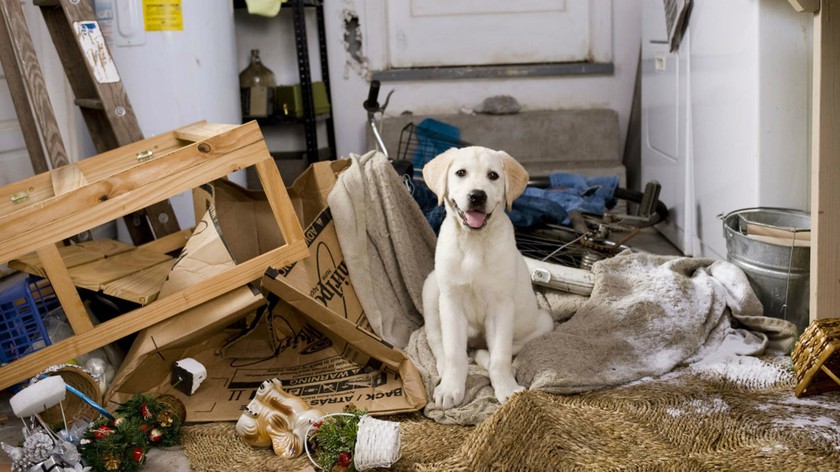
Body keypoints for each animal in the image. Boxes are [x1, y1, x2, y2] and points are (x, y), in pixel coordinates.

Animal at [424, 146, 556, 408]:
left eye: (493, 176)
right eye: (461, 173)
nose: (477, 196)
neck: (474, 243)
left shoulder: (501, 306)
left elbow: (501, 356)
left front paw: (507, 388)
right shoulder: (451, 301)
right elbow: (454, 352)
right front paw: (451, 388)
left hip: (543, 321)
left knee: (492, 351)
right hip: (431, 290)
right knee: (437, 341)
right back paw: (444, 371)